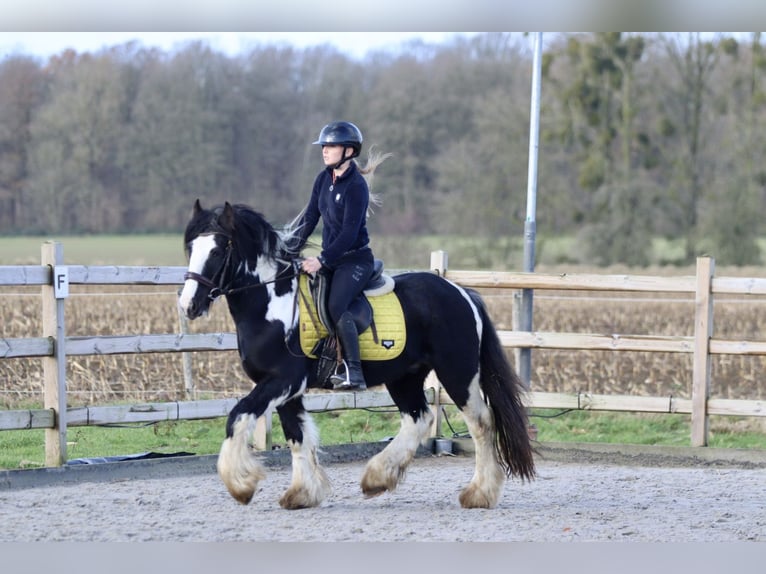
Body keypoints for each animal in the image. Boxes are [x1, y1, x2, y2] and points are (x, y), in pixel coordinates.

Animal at [178, 200, 540, 510]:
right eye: (191, 248)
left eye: (218, 249)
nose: (188, 305)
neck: (272, 304)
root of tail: (462, 293)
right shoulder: (288, 389)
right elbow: (298, 437)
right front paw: (302, 493)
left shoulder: (282, 380)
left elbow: (237, 416)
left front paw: (240, 484)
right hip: (405, 376)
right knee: (418, 418)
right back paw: (377, 478)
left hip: (458, 373)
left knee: (481, 423)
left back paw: (479, 493)